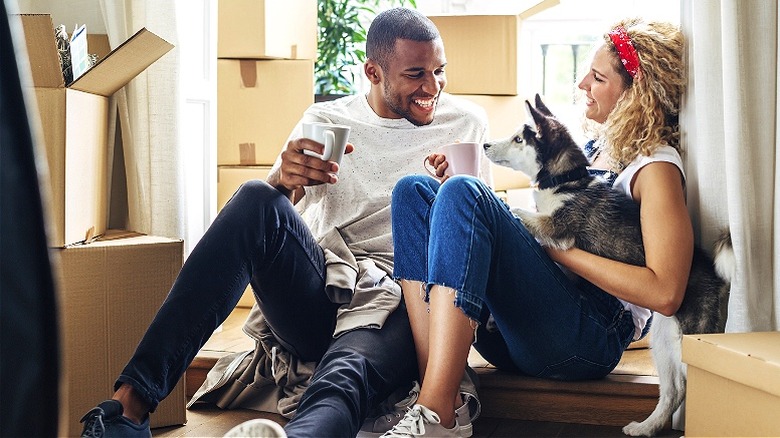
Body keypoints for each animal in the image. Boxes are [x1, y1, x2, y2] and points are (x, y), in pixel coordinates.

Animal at [482, 95, 732, 434]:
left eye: (519, 139)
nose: (484, 145)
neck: (566, 181)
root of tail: (715, 278)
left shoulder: (556, 228)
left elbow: (518, 211)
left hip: (687, 341)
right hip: (663, 339)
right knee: (674, 391)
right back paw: (645, 427)